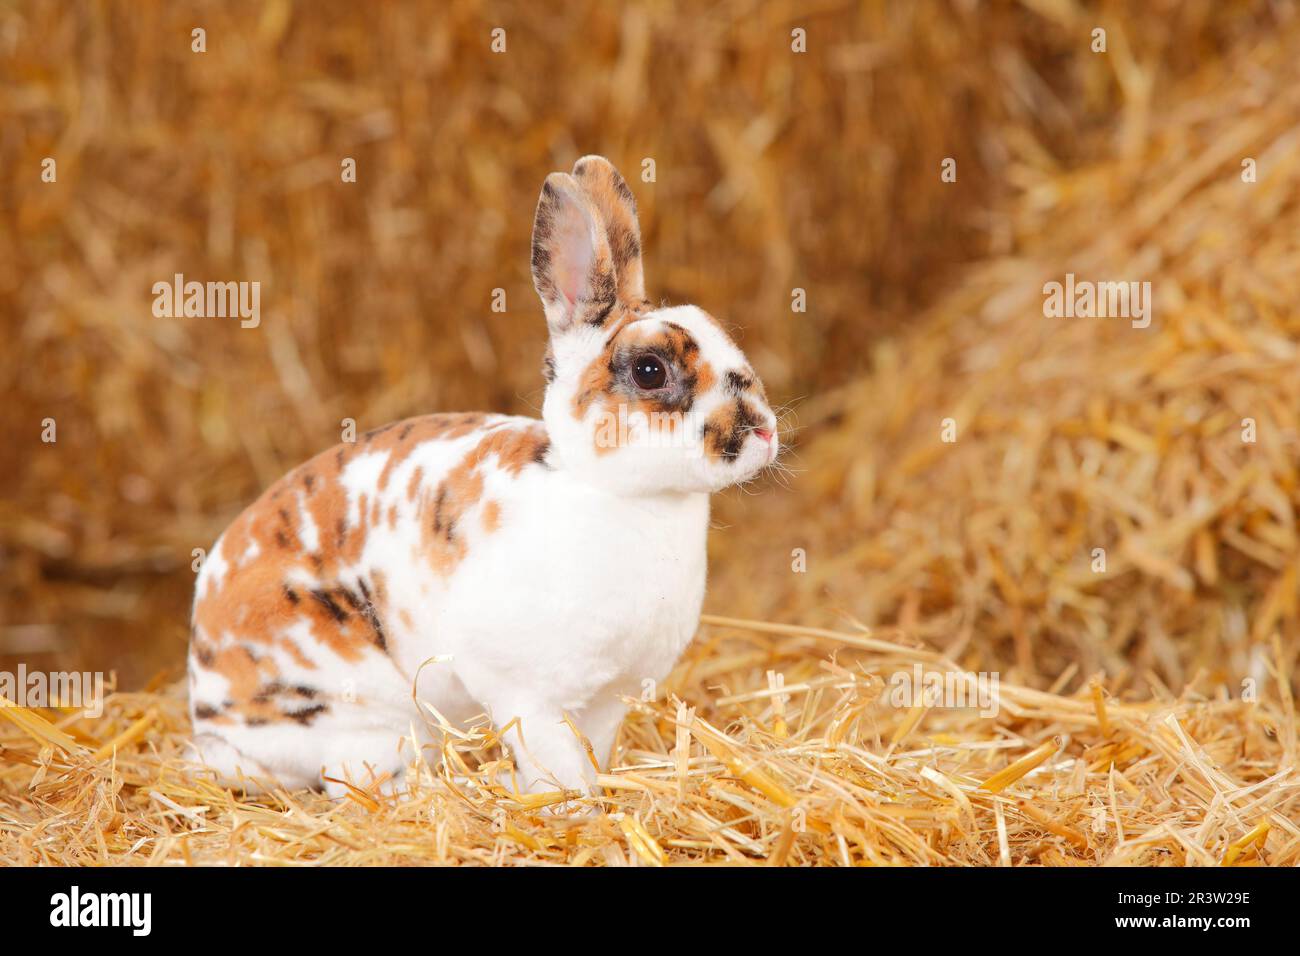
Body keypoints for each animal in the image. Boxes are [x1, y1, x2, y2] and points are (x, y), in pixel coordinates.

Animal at [187, 156, 780, 802]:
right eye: (651, 370)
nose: (762, 430)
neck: (613, 493)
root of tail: (210, 716)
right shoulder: (527, 695)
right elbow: (557, 765)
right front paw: (568, 809)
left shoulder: (605, 703)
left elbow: (592, 754)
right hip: (363, 713)